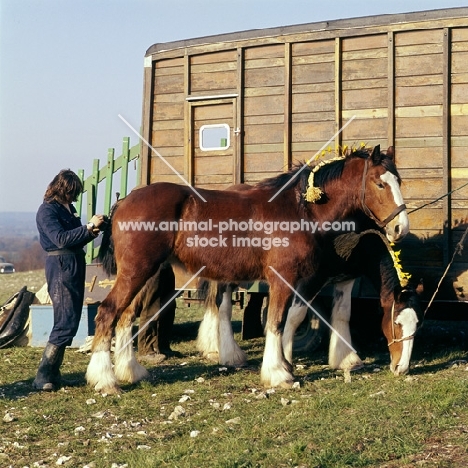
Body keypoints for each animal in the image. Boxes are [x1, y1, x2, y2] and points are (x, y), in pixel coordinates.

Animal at [88, 144, 410, 394]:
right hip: (136, 272)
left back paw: (131, 371)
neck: (301, 209)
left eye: (399, 181)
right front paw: (278, 373)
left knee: (126, 317)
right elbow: (277, 323)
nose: (400, 228)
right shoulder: (284, 278)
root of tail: (123, 202)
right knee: (107, 313)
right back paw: (105, 380)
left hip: (147, 273)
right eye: (380, 184)